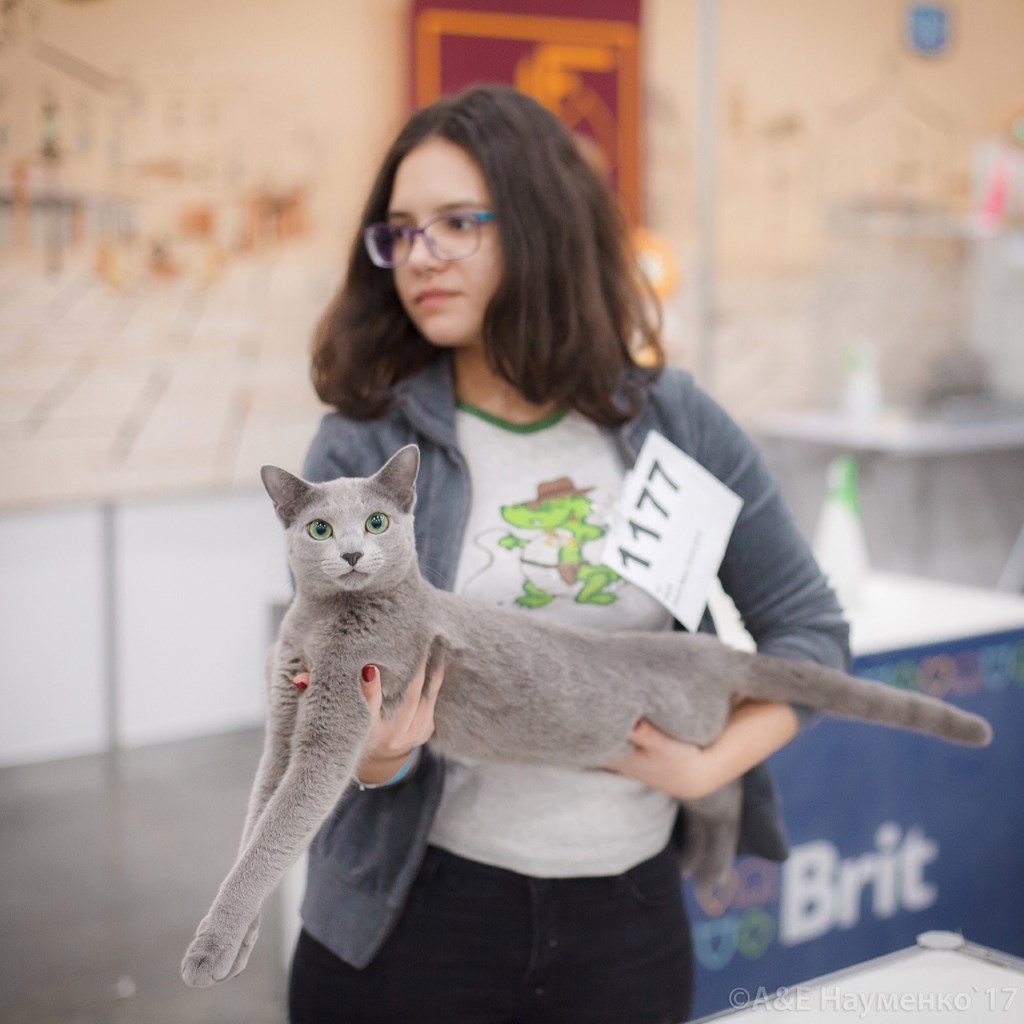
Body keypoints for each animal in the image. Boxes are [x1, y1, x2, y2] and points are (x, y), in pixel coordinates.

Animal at [181, 444, 991, 988]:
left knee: (721, 784)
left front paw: (207, 952)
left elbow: (278, 833)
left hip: (688, 734)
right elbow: (260, 821)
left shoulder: (341, 718)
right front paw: (238, 944)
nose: (351, 553)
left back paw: (710, 865)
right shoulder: (285, 718)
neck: (323, 625)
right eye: (320, 530)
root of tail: (707, 649)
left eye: (377, 521)